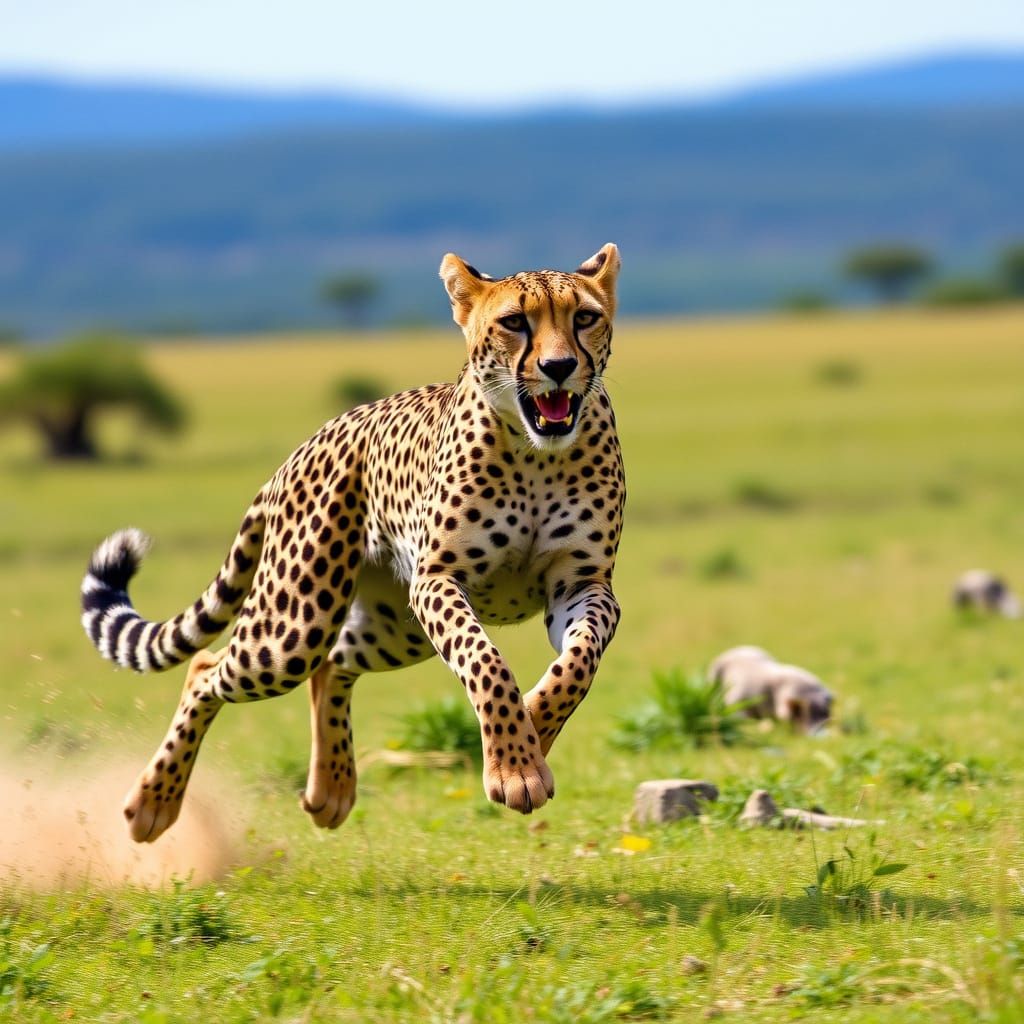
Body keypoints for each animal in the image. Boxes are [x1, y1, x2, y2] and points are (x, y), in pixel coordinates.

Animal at [80, 244, 625, 843]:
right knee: (207, 667)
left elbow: (578, 664)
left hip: (392, 628)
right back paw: (154, 801)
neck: (536, 454)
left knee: (332, 663)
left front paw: (536, 730)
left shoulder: (582, 584)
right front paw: (517, 768)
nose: (559, 367)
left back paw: (332, 788)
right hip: (292, 629)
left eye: (584, 317)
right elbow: (486, 661)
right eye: (514, 322)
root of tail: (305, 446)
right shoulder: (438, 579)